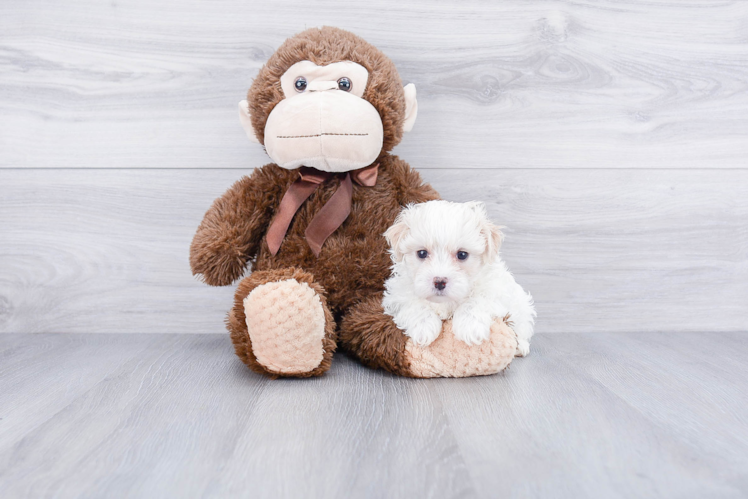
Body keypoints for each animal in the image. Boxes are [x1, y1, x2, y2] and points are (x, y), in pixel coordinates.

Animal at [382, 199, 536, 356]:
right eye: (422, 253)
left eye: (462, 255)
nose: (439, 282)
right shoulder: (398, 293)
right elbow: (414, 303)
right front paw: (424, 327)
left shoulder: (494, 288)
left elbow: (476, 300)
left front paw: (470, 327)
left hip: (522, 307)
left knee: (522, 326)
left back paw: (521, 346)